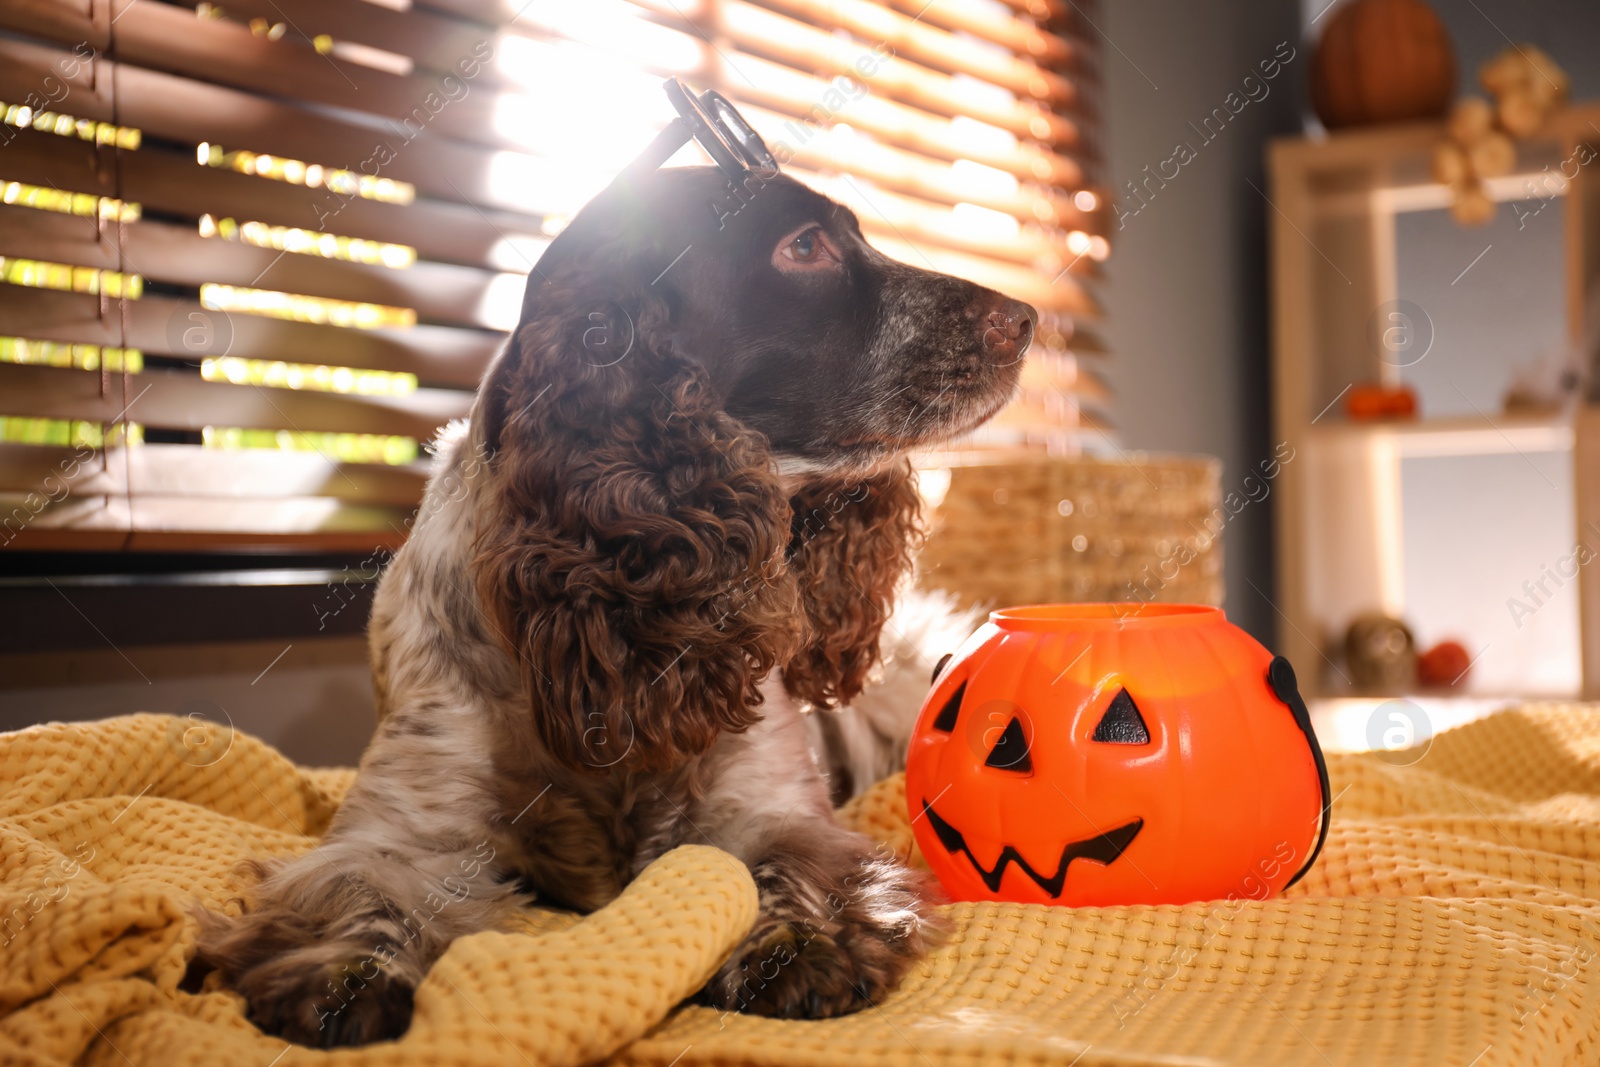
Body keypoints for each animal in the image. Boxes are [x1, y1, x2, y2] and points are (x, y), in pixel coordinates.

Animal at [196, 163, 1036, 1049]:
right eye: (805, 247)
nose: (1025, 319)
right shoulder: (406, 823)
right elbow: (364, 888)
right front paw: (343, 973)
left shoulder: (764, 802)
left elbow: (781, 860)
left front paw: (799, 943)